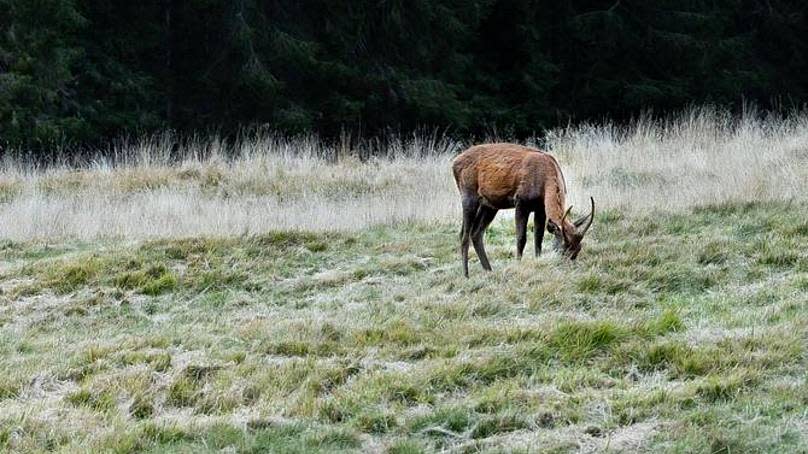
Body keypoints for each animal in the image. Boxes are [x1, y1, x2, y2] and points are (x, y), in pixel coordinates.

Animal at [454, 143, 592, 276]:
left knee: (476, 232)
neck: (544, 183)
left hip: (489, 205)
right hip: (468, 195)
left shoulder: (540, 208)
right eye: (564, 247)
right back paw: (466, 274)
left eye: (579, 248)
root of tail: (454, 163)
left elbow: (538, 237)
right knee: (464, 234)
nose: (568, 266)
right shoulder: (521, 202)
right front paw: (518, 264)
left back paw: (488, 270)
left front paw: (538, 261)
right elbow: (521, 238)